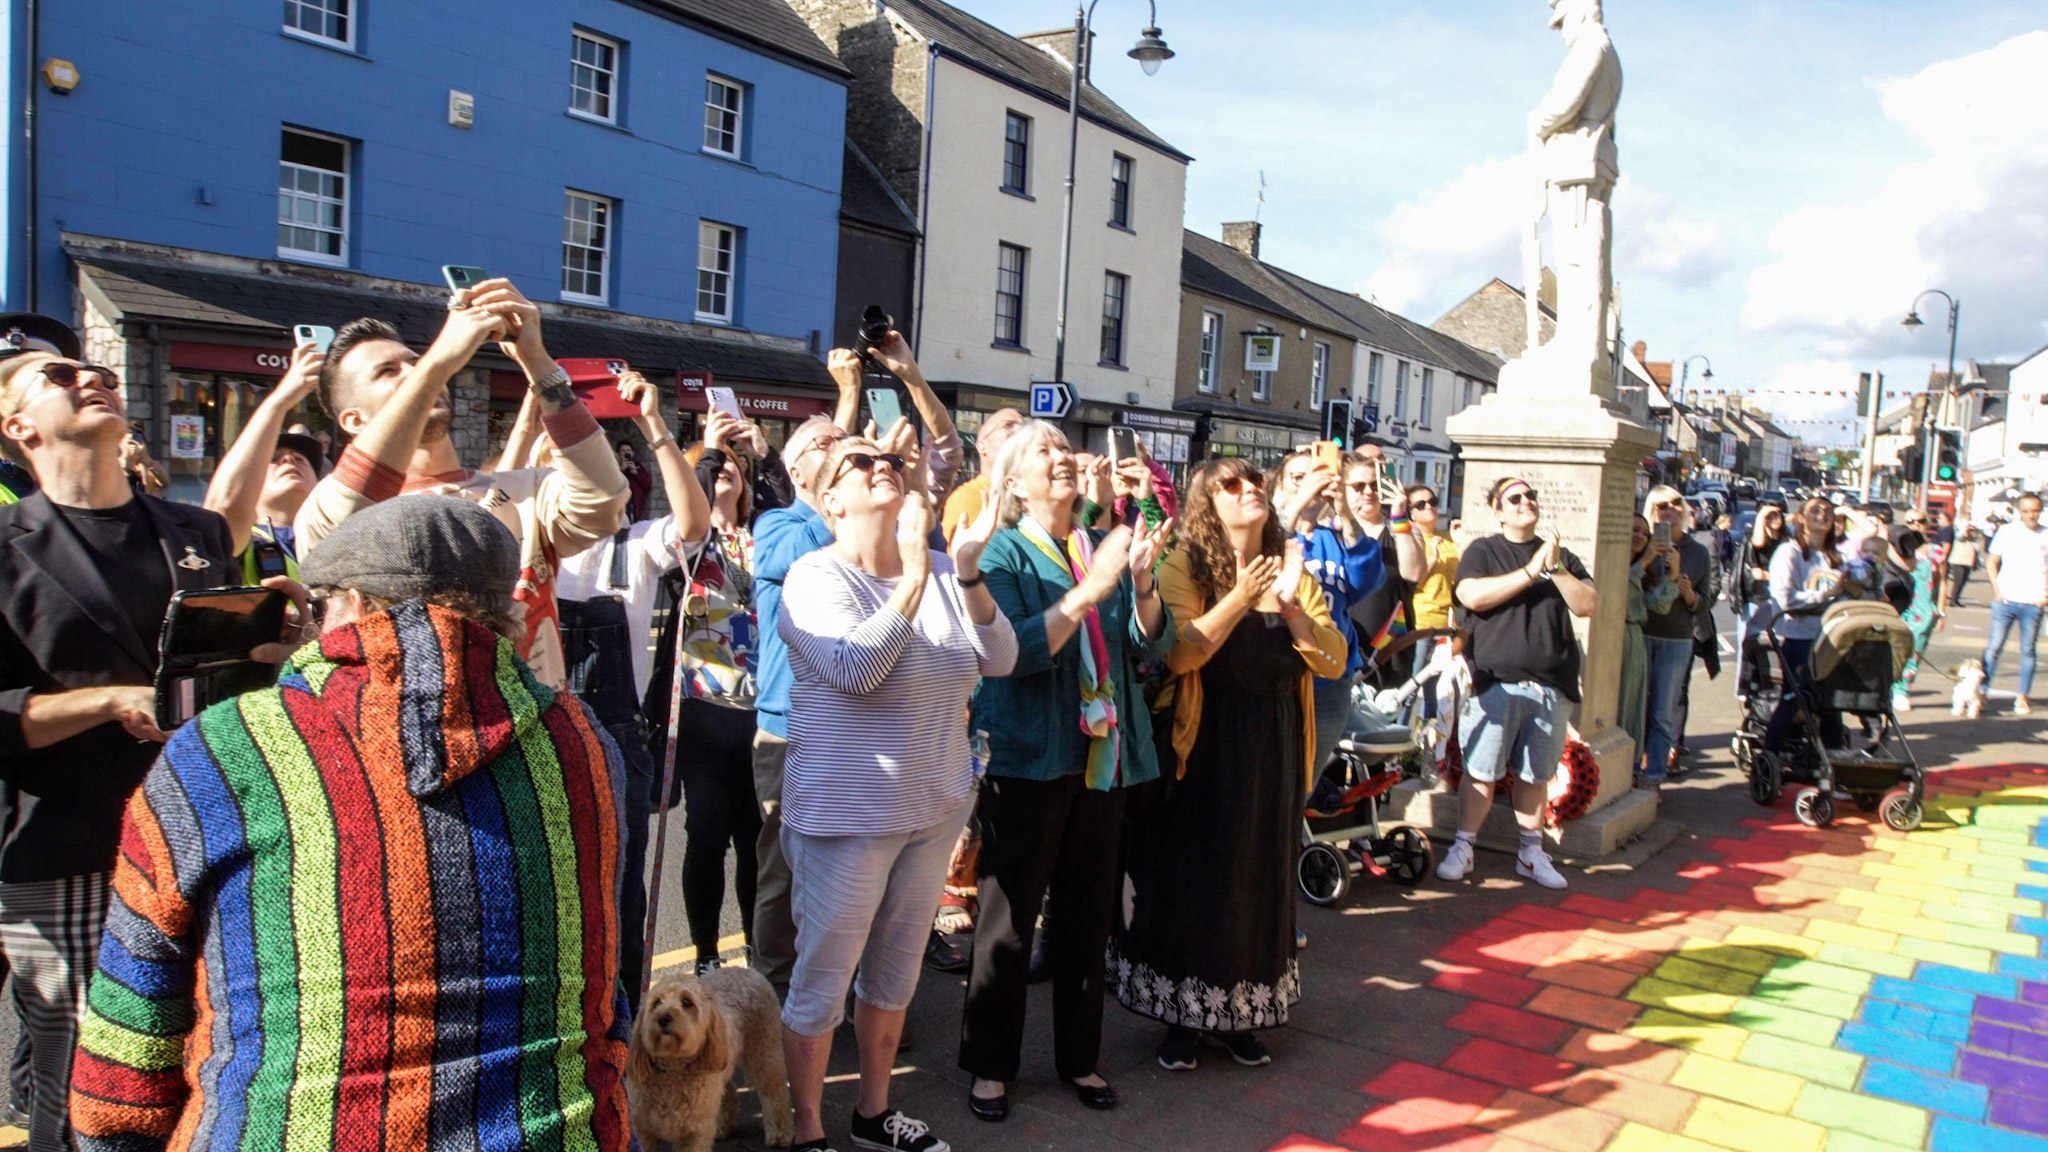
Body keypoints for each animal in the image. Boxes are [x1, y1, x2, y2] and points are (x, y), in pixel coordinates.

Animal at [622, 963, 790, 1139]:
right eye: (656, 1003)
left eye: (687, 1002)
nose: (663, 1018)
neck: (673, 1070)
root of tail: (747, 970)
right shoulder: (642, 1127)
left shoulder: (696, 1130)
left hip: (765, 1051)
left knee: (774, 1094)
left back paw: (779, 1134)